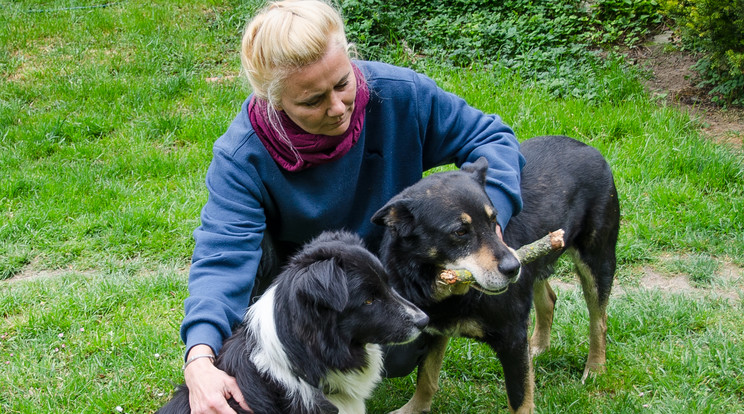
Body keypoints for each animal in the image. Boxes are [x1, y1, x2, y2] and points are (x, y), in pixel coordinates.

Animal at [372, 136, 620, 414]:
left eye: (494, 221)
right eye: (460, 232)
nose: (513, 267)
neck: (443, 290)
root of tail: (589, 148)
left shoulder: (512, 338)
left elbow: (520, 400)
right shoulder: (434, 329)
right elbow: (426, 377)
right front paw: (414, 409)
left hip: (597, 258)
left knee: (599, 320)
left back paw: (596, 368)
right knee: (548, 299)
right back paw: (538, 346)